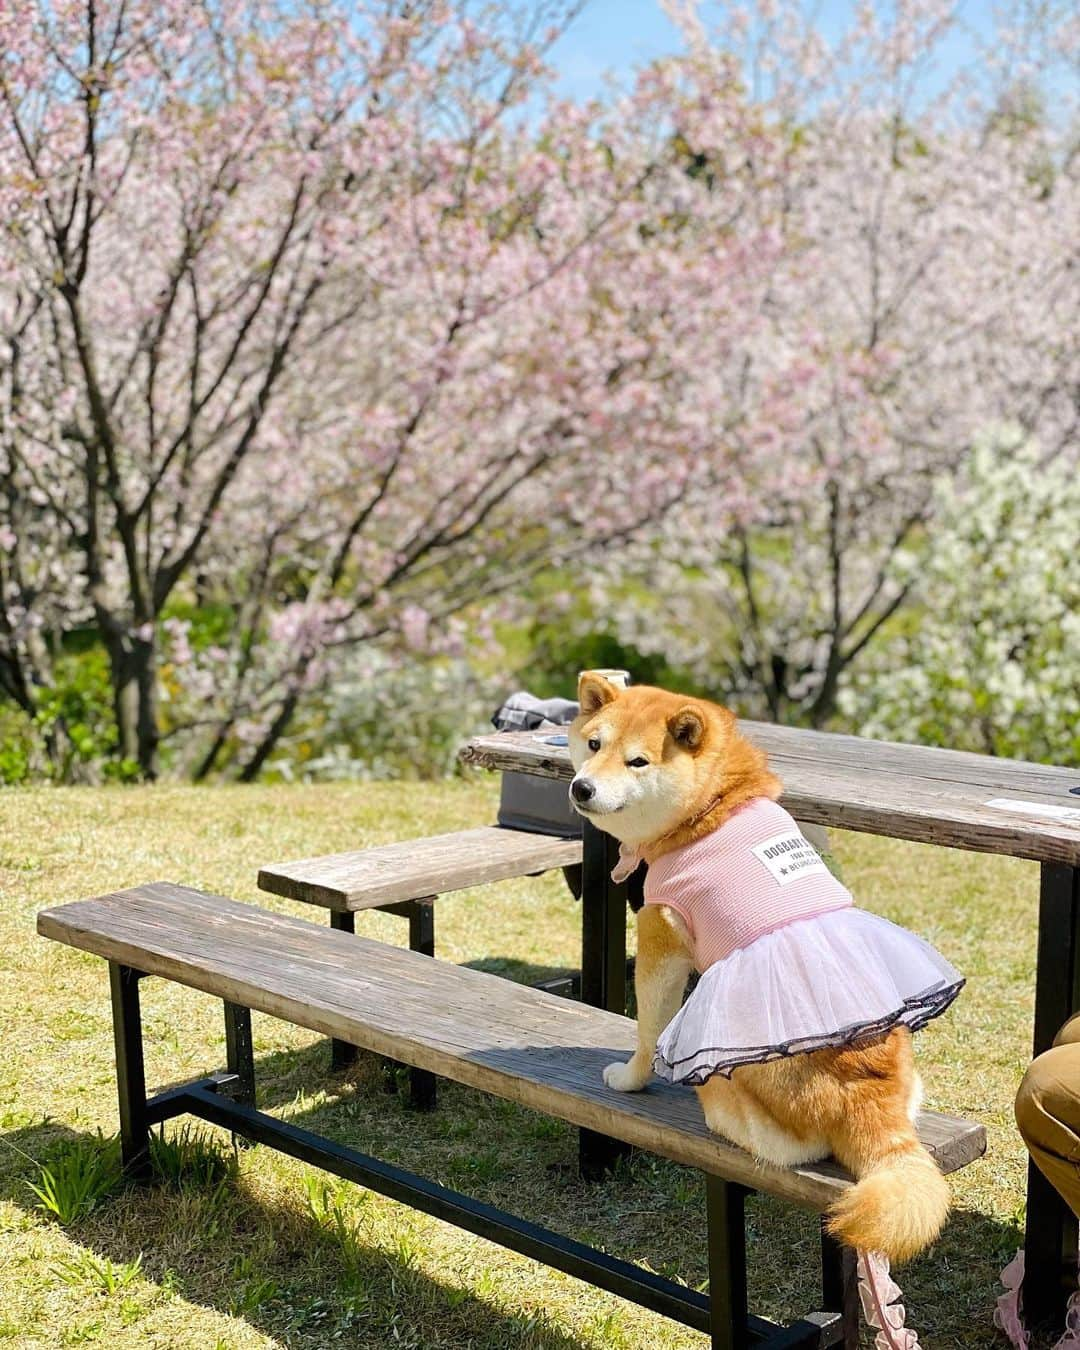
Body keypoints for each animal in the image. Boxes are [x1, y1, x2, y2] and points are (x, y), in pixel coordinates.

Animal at [569, 675, 955, 1263]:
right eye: (593, 745)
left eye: (637, 761)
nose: (581, 788)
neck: (711, 808)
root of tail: (874, 1098)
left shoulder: (662, 934)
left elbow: (649, 1027)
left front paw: (631, 1078)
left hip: (734, 1082)